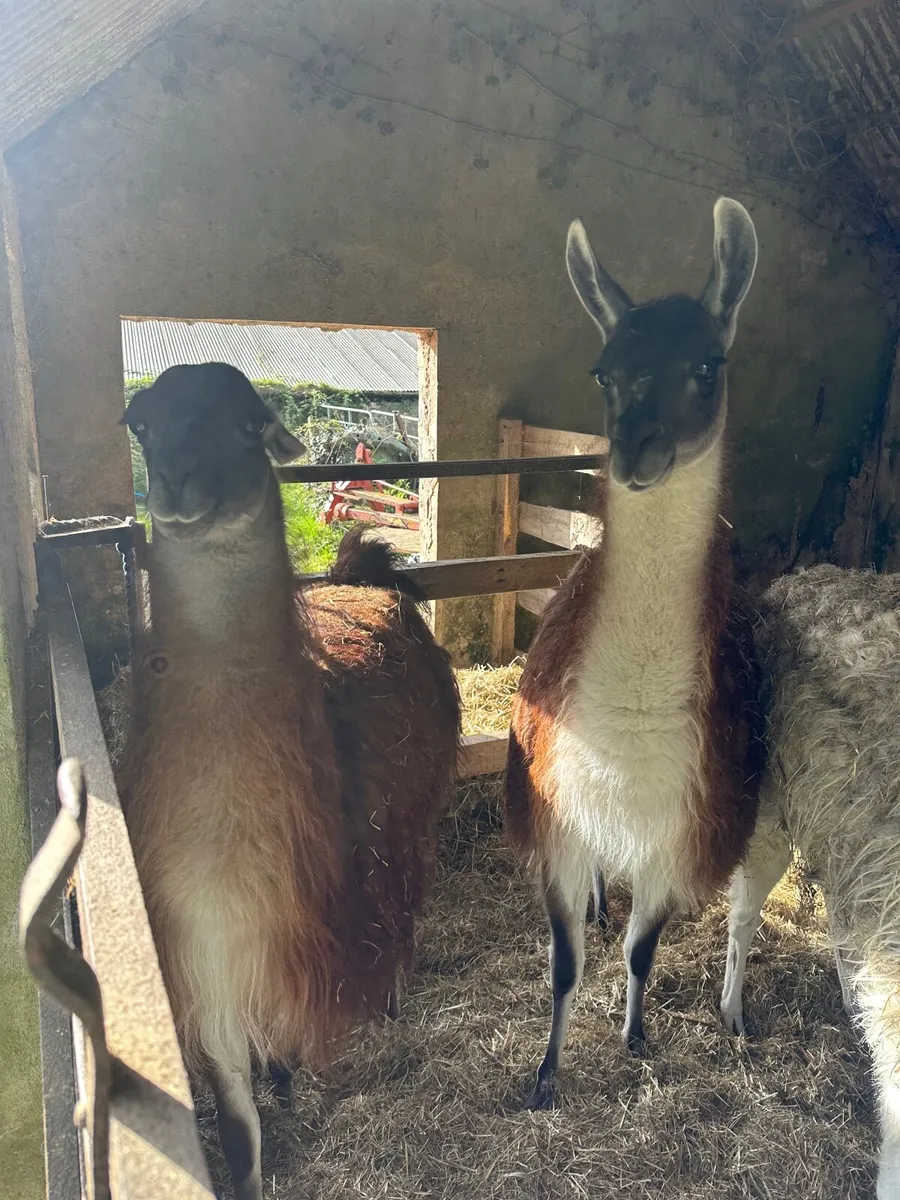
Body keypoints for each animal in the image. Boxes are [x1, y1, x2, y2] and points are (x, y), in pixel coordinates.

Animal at [118, 363, 461, 1200]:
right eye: (142, 423)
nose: (176, 482)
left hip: (410, 824)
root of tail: (356, 582)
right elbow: (241, 1133)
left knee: (405, 909)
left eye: (248, 424)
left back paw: (394, 998)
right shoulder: (205, 972)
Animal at [506, 197, 765, 1108]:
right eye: (604, 374)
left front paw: (636, 1035)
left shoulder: (675, 835)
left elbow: (640, 953)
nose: (635, 450)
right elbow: (563, 968)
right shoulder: (556, 816)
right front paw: (545, 1075)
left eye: (708, 363)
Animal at [721, 564, 900, 1199]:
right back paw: (731, 1013)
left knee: (840, 917)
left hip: (840, 828)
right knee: (744, 917)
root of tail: (807, 576)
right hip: (773, 806)